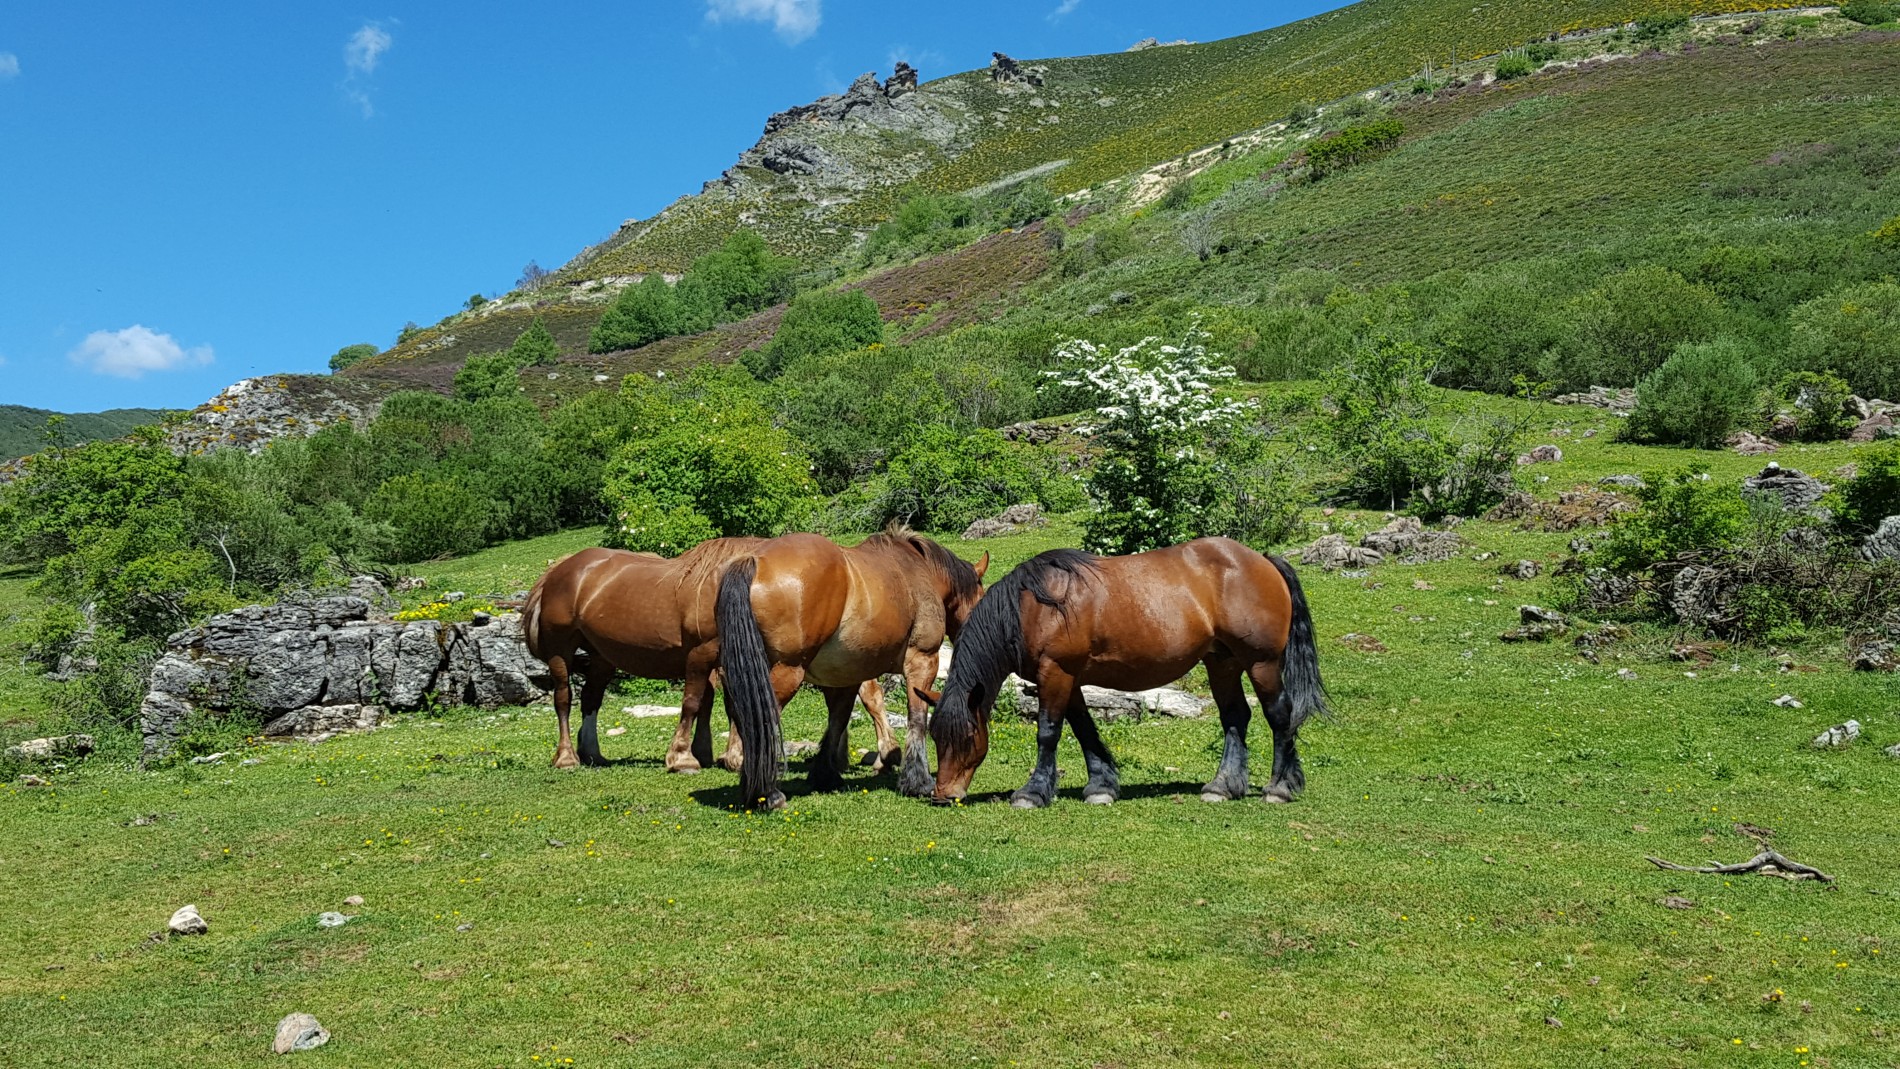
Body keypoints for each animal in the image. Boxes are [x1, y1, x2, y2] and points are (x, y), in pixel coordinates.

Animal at [523, 540, 896, 773]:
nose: (888, 756)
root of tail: (560, 570)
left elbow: (720, 703)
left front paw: (721, 754)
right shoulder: (703, 654)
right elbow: (695, 703)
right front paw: (685, 758)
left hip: (602, 657)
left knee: (591, 699)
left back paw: (593, 753)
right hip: (560, 652)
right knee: (563, 699)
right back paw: (567, 757)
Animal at [715, 527, 989, 810]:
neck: (920, 569)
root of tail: (754, 561)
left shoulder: (845, 676)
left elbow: (839, 718)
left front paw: (826, 774)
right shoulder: (922, 661)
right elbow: (917, 717)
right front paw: (917, 781)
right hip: (786, 672)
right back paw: (768, 793)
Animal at [923, 538, 1327, 808]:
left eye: (966, 737)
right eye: (936, 737)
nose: (943, 795)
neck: (1031, 608)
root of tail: (1262, 560)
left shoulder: (1056, 673)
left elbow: (1049, 732)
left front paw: (1033, 793)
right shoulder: (1068, 679)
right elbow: (1084, 729)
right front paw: (1101, 787)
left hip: (1262, 663)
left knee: (1279, 716)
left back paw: (1280, 788)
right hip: (1222, 662)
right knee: (1235, 717)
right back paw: (1223, 786)